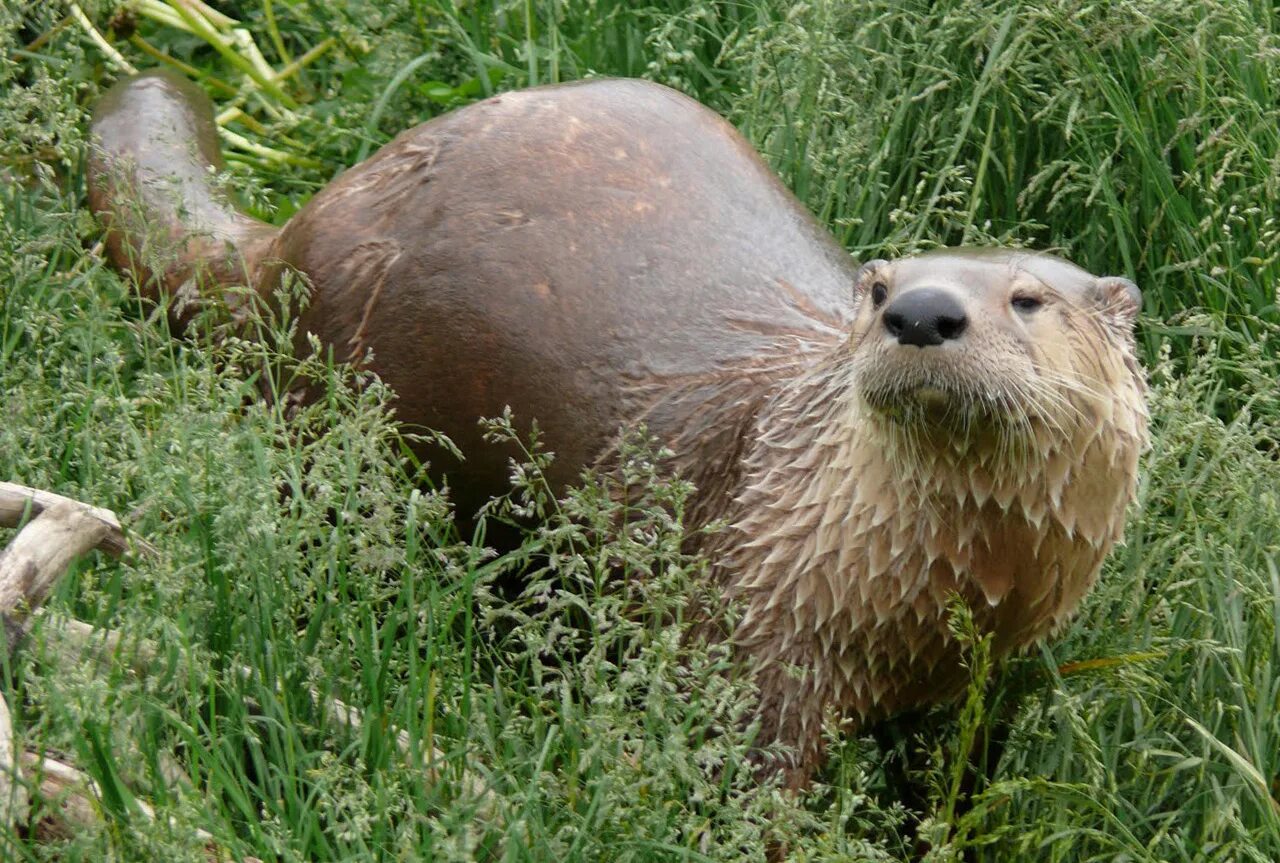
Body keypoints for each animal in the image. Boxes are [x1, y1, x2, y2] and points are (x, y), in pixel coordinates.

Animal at [90, 70, 1152, 788]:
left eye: (1027, 297)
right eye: (879, 288)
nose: (922, 312)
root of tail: (294, 235)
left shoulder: (988, 676)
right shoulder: (754, 642)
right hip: (334, 410)